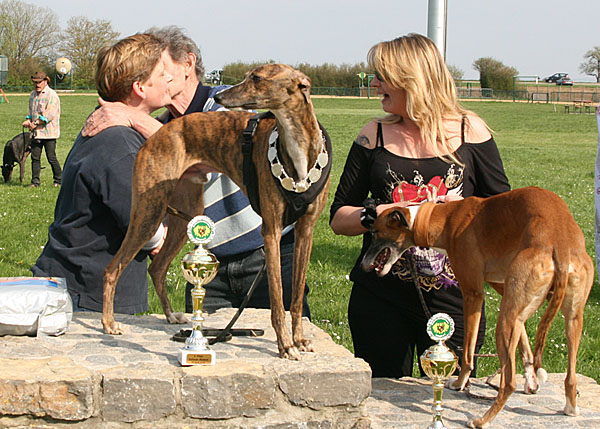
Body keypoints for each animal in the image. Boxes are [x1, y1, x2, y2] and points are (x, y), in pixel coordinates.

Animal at [101, 62, 330, 358]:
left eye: (256, 78)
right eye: (247, 76)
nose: (220, 97)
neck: (297, 147)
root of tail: (155, 136)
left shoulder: (306, 230)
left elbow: (296, 298)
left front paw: (299, 340)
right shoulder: (271, 230)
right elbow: (278, 300)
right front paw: (286, 346)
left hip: (180, 219)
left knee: (158, 268)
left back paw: (171, 316)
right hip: (148, 213)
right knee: (113, 268)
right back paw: (108, 323)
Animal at [360, 186, 592, 428]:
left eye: (376, 232)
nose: (364, 265)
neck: (444, 218)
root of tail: (560, 244)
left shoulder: (473, 294)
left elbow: (468, 350)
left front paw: (459, 382)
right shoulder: (504, 290)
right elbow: (524, 341)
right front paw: (531, 379)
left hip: (505, 321)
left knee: (509, 382)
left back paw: (482, 420)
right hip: (566, 318)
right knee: (571, 377)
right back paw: (570, 407)